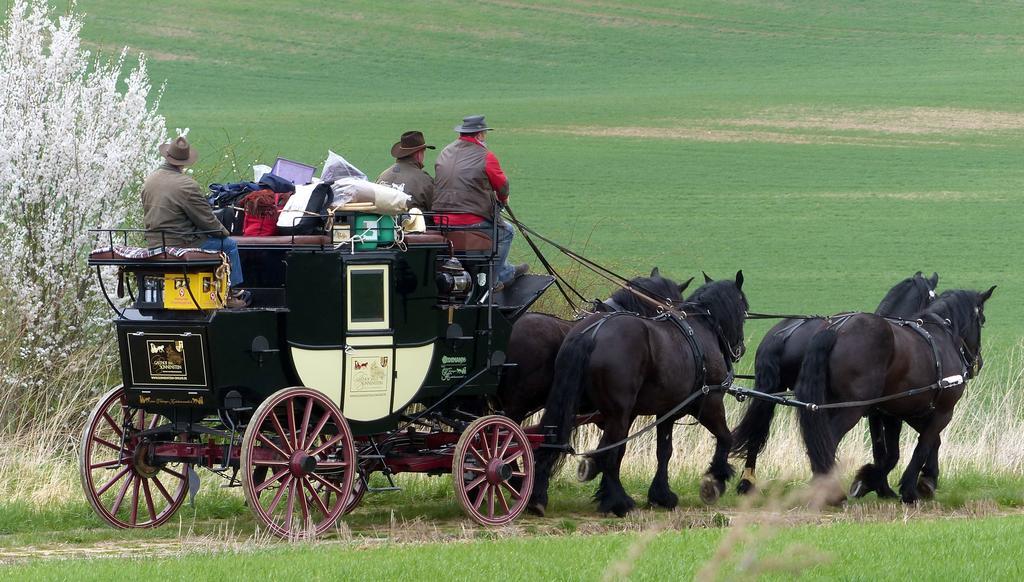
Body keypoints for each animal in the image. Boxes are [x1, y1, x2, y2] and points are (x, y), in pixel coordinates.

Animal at [532, 270, 749, 516]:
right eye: (744, 310)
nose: (740, 349)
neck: (703, 328)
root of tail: (590, 334)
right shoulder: (709, 403)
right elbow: (725, 437)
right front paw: (715, 480)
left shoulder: (665, 412)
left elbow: (663, 451)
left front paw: (661, 495)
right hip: (617, 414)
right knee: (607, 453)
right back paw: (618, 501)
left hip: (569, 404)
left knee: (549, 440)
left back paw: (537, 496)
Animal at [733, 270, 937, 493]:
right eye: (932, 297)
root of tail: (783, 335)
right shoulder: (880, 411)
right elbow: (888, 451)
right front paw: (884, 486)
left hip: (771, 391)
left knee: (758, 431)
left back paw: (747, 481)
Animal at [798, 286, 991, 504]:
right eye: (982, 320)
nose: (978, 362)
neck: (943, 336)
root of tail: (836, 329)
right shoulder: (943, 412)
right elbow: (923, 446)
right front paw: (909, 490)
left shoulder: (898, 413)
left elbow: (901, 450)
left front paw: (922, 481)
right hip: (851, 408)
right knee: (827, 440)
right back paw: (833, 493)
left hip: (828, 405)